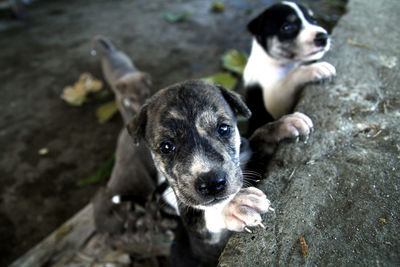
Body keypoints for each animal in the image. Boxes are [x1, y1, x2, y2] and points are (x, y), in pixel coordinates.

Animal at [244, 1, 334, 132]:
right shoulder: (275, 102)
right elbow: (292, 75)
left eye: (313, 20)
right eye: (287, 27)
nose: (323, 37)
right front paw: (316, 68)